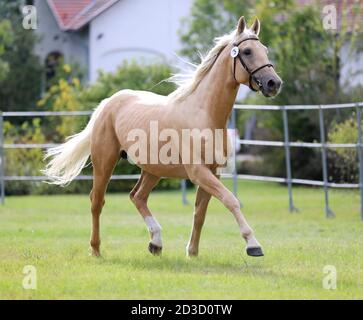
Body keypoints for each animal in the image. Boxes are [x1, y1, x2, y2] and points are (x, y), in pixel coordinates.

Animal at [42, 16, 282, 258]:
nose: (274, 83)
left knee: (137, 196)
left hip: (153, 169)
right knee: (97, 201)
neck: (204, 114)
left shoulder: (213, 172)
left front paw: (192, 252)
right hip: (105, 162)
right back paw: (96, 250)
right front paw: (253, 245)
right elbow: (231, 200)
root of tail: (107, 103)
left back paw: (156, 242)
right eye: (248, 51)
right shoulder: (198, 172)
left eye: (265, 50)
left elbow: (200, 213)